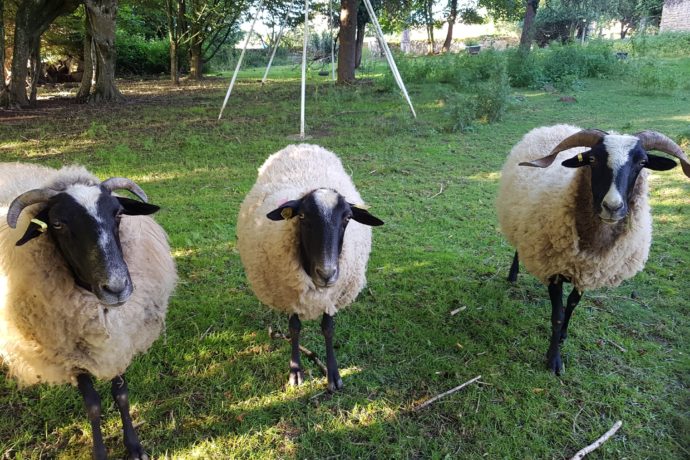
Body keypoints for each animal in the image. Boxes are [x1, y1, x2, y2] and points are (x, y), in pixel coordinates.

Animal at [0, 163, 177, 460]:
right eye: (57, 223)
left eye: (118, 213)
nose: (116, 287)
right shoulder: (68, 353)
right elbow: (92, 404)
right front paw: (100, 452)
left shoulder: (119, 340)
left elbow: (121, 394)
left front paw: (134, 447)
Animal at [237, 144, 383, 392]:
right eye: (303, 216)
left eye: (347, 218)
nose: (326, 273)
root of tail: (302, 145)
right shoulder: (290, 292)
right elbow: (294, 327)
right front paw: (295, 371)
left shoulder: (331, 295)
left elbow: (328, 328)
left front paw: (333, 375)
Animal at [496, 125, 690, 374]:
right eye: (592, 159)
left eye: (642, 162)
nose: (613, 207)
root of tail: (555, 126)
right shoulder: (554, 269)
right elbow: (557, 316)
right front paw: (554, 359)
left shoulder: (588, 271)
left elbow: (572, 305)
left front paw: (563, 336)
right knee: (518, 247)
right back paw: (512, 275)